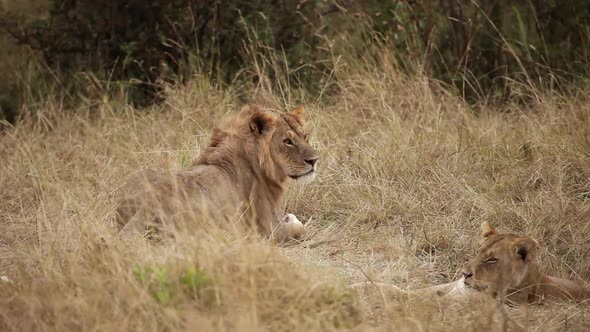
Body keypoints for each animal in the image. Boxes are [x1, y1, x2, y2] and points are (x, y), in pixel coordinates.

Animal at [115, 105, 320, 243]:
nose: (314, 160)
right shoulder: (267, 228)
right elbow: (299, 229)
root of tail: (148, 206)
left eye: (305, 136)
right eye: (287, 141)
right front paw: (291, 218)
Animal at [352, 222, 590, 304]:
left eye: (492, 259)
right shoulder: (449, 287)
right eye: (478, 252)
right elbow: (402, 290)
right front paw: (358, 286)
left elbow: (412, 299)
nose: (465, 274)